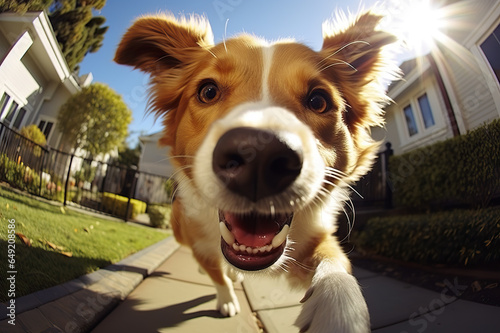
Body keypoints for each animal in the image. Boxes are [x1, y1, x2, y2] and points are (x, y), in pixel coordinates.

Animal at [115, 9, 396, 330]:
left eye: (318, 100)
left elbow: (337, 266)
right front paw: (226, 299)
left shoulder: (313, 240)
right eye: (208, 91)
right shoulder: (198, 242)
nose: (258, 157)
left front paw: (339, 313)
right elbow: (215, 272)